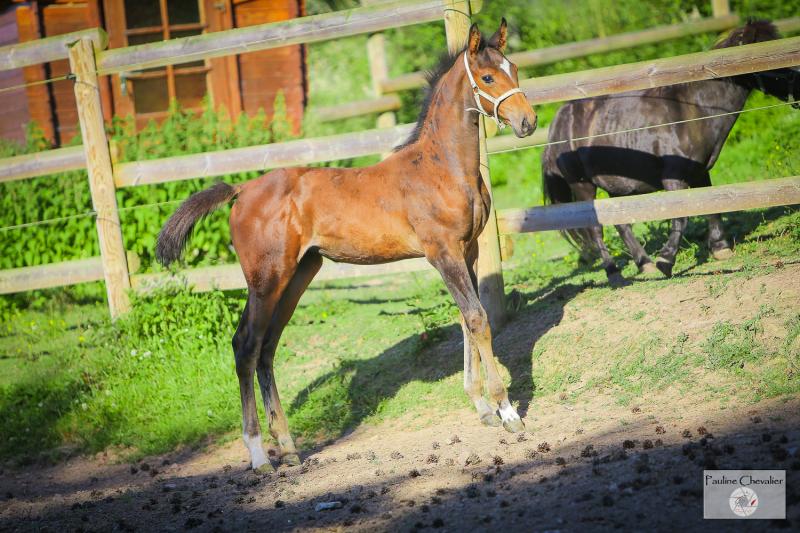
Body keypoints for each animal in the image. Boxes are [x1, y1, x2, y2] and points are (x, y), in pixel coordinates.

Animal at [156, 20, 537, 473]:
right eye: (488, 77)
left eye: (514, 68)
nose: (528, 121)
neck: (440, 167)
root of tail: (241, 190)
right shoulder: (443, 254)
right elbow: (478, 319)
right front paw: (507, 412)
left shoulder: (469, 251)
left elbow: (467, 320)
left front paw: (482, 408)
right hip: (266, 279)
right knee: (245, 345)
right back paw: (259, 455)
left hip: (299, 274)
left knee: (267, 347)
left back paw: (288, 446)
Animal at [541, 20, 800, 284]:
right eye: (767, 52)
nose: (798, 82)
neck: (692, 114)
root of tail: (558, 123)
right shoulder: (673, 178)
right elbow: (681, 216)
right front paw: (666, 260)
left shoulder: (699, 172)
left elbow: (709, 206)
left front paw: (720, 248)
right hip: (583, 185)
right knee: (595, 229)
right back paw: (615, 273)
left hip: (617, 185)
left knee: (622, 224)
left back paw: (644, 264)